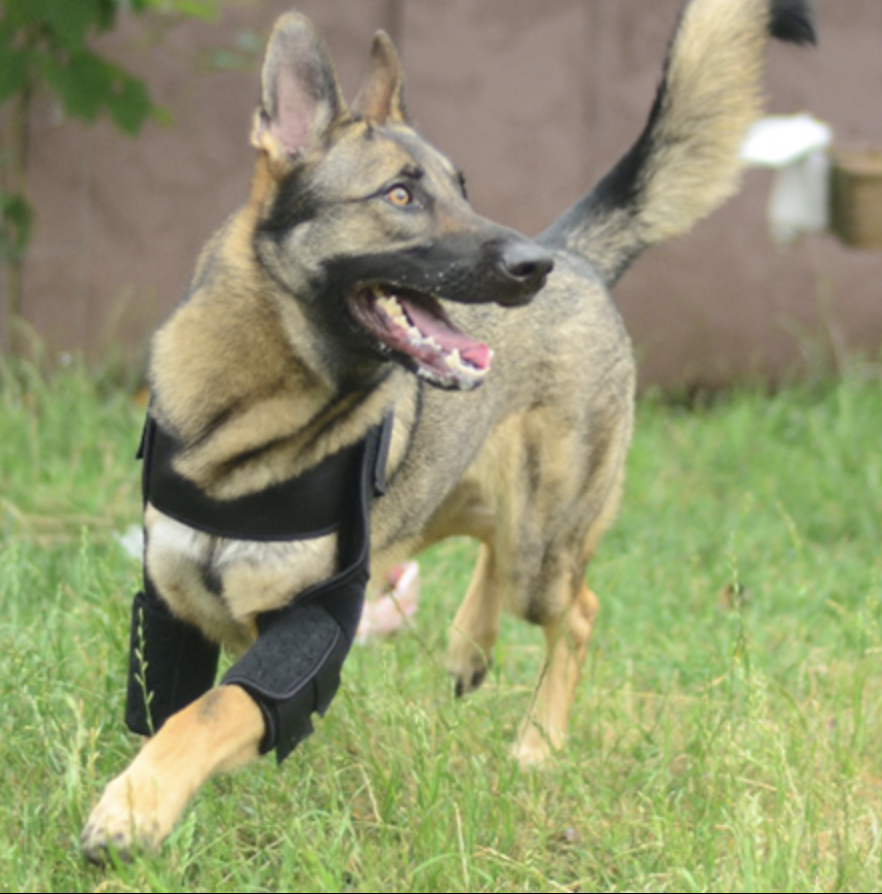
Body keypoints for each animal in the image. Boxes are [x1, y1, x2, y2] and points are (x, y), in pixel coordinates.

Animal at [82, 0, 812, 860]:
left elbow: (213, 711)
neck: (248, 424)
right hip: (453, 500)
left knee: (577, 608)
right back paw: (471, 644)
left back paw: (538, 743)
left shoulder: (313, 623)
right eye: (400, 195)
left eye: (463, 189)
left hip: (541, 546)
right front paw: (162, 799)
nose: (532, 267)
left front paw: (136, 806)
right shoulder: (174, 610)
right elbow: (170, 709)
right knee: (489, 535)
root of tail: (574, 255)